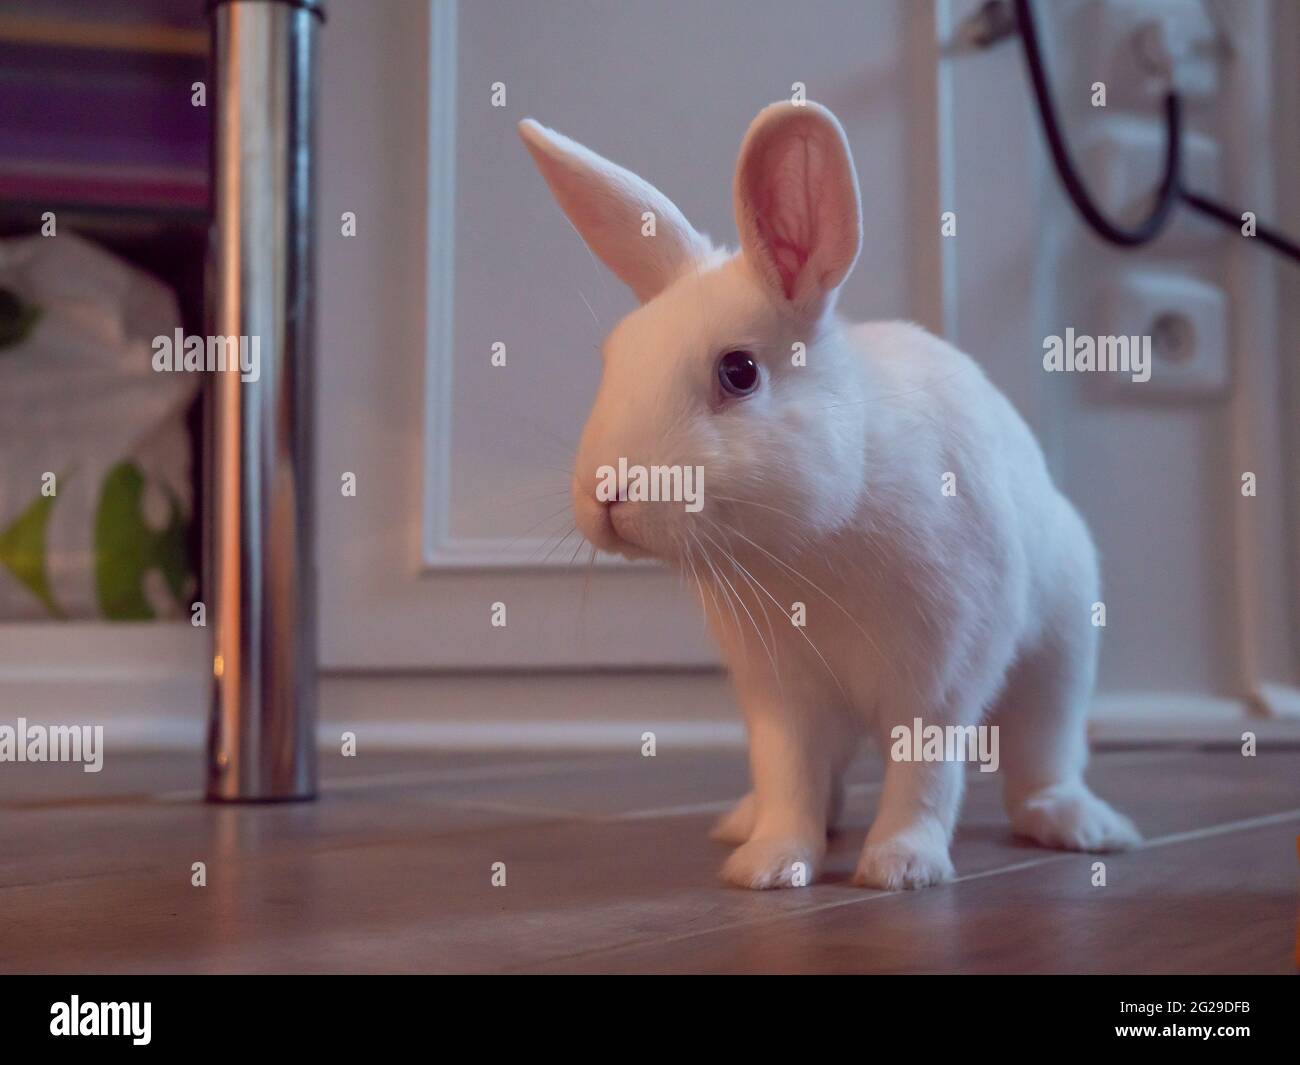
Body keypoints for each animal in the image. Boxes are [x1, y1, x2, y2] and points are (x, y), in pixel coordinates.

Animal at [518, 100, 1142, 890]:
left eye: (739, 371)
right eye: (612, 358)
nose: (607, 493)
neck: (814, 545)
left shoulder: (941, 674)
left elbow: (923, 775)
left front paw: (901, 868)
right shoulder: (781, 696)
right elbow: (789, 776)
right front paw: (769, 865)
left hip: (1059, 657)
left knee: (1044, 759)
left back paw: (1084, 826)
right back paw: (743, 821)